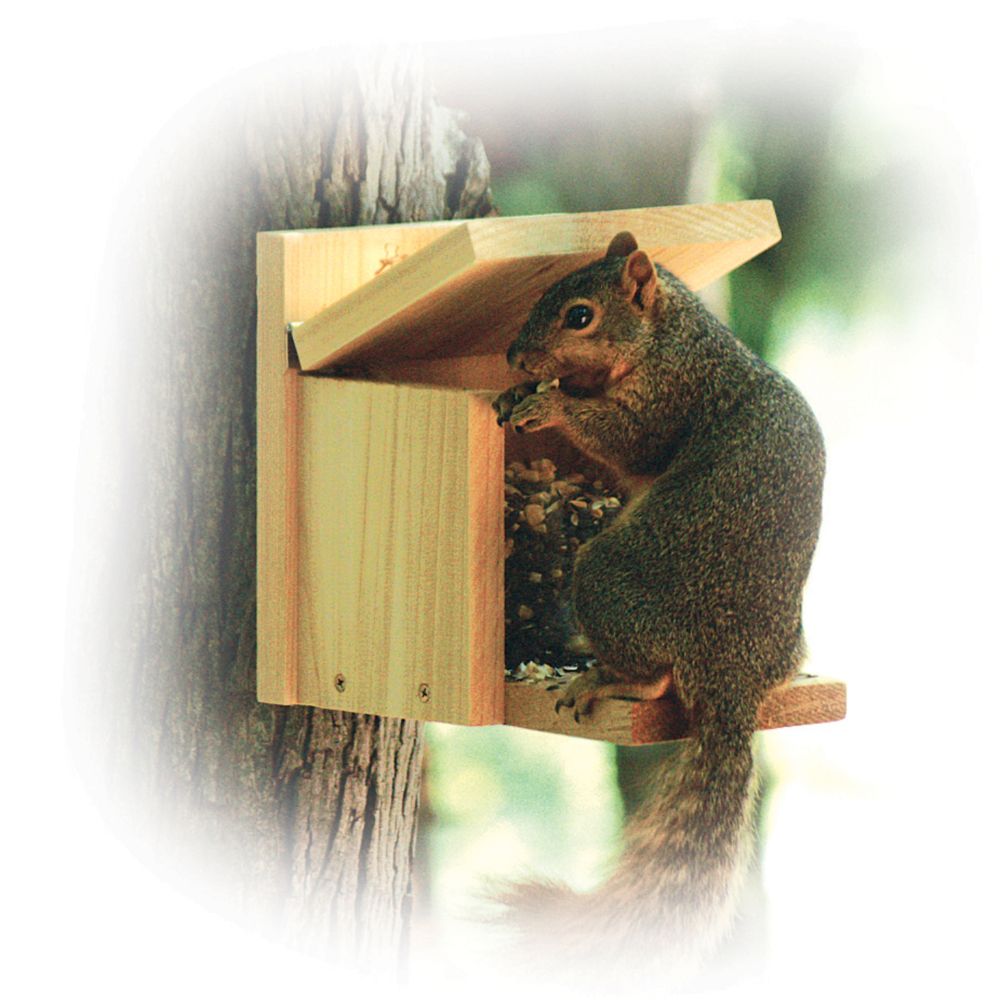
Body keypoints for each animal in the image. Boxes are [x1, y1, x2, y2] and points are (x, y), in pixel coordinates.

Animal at [491, 231, 825, 990]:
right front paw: (518, 393)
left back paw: (601, 679)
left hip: (606, 577)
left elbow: (628, 439)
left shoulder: (671, 394)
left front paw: (550, 406)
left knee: (650, 676)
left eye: (580, 316)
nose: (514, 356)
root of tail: (734, 675)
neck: (674, 334)